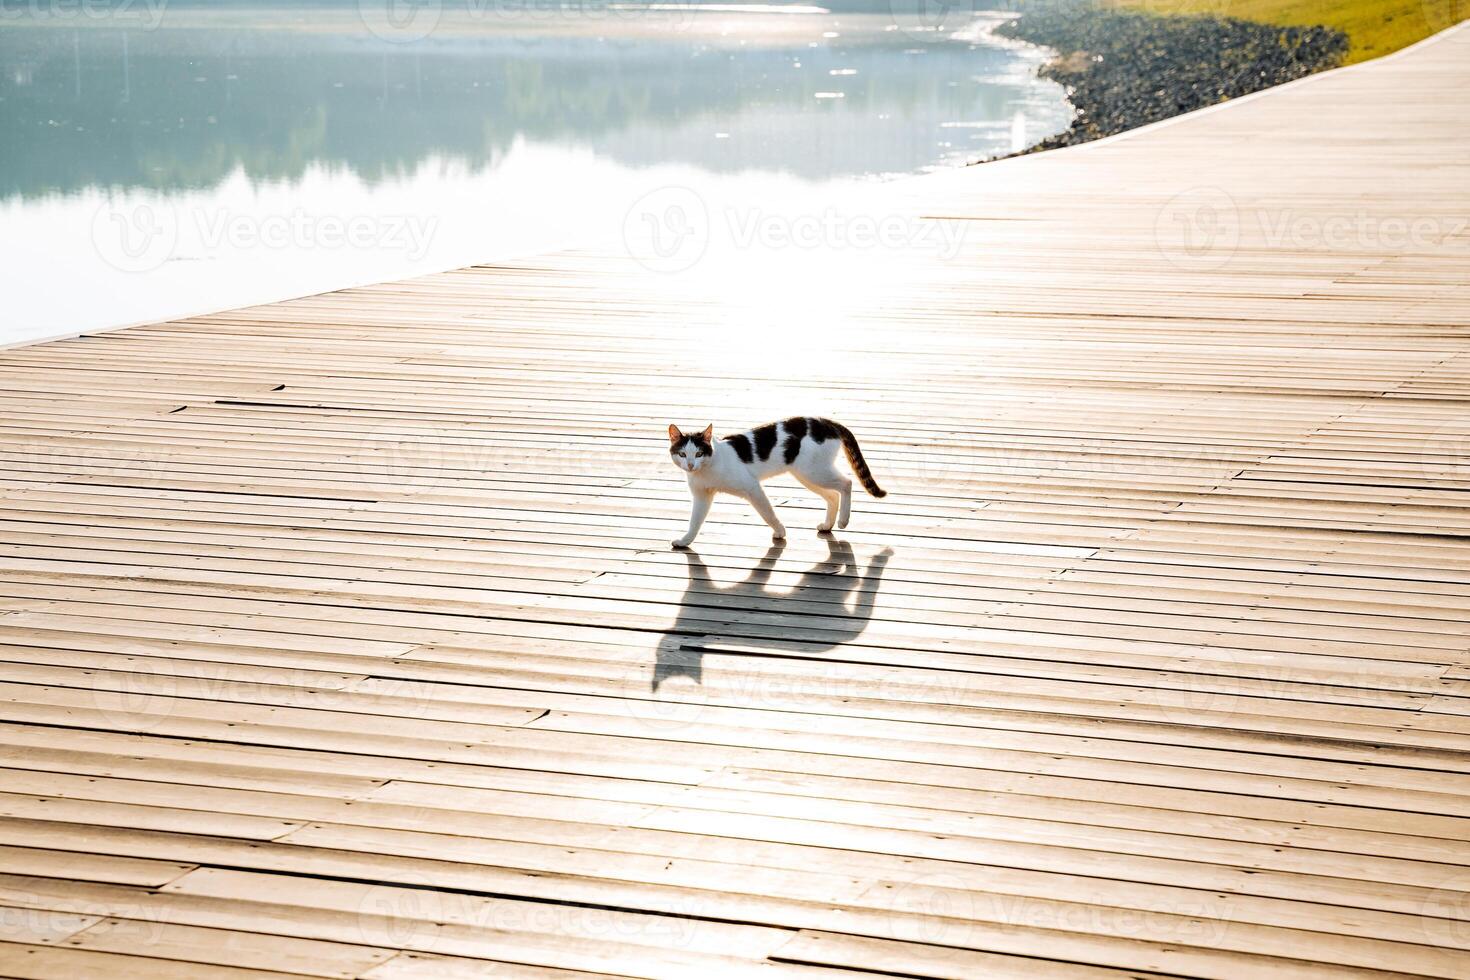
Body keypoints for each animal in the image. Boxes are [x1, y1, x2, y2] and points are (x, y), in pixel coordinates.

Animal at [667, 417, 882, 552]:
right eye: (682, 454)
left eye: (699, 453)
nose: (690, 465)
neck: (708, 467)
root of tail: (826, 422)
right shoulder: (702, 496)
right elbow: (695, 522)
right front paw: (685, 541)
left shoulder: (752, 487)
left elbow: (767, 513)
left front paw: (780, 531)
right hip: (807, 474)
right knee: (833, 495)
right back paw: (827, 525)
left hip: (814, 472)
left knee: (846, 483)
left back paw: (843, 520)